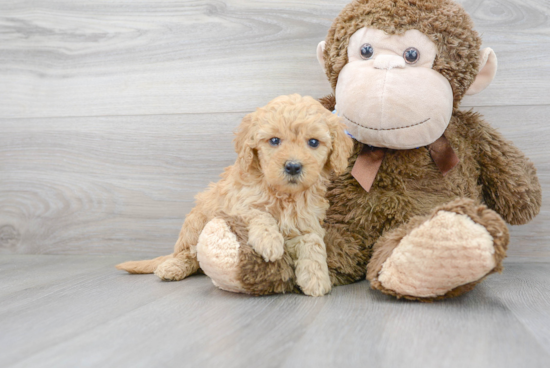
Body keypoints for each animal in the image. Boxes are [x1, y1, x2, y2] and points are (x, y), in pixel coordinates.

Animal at [116, 94, 354, 296]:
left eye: (313, 142)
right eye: (274, 141)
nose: (293, 166)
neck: (284, 195)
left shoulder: (307, 221)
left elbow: (314, 243)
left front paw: (316, 279)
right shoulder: (237, 205)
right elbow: (260, 213)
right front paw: (269, 241)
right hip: (196, 221)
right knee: (188, 253)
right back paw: (172, 267)